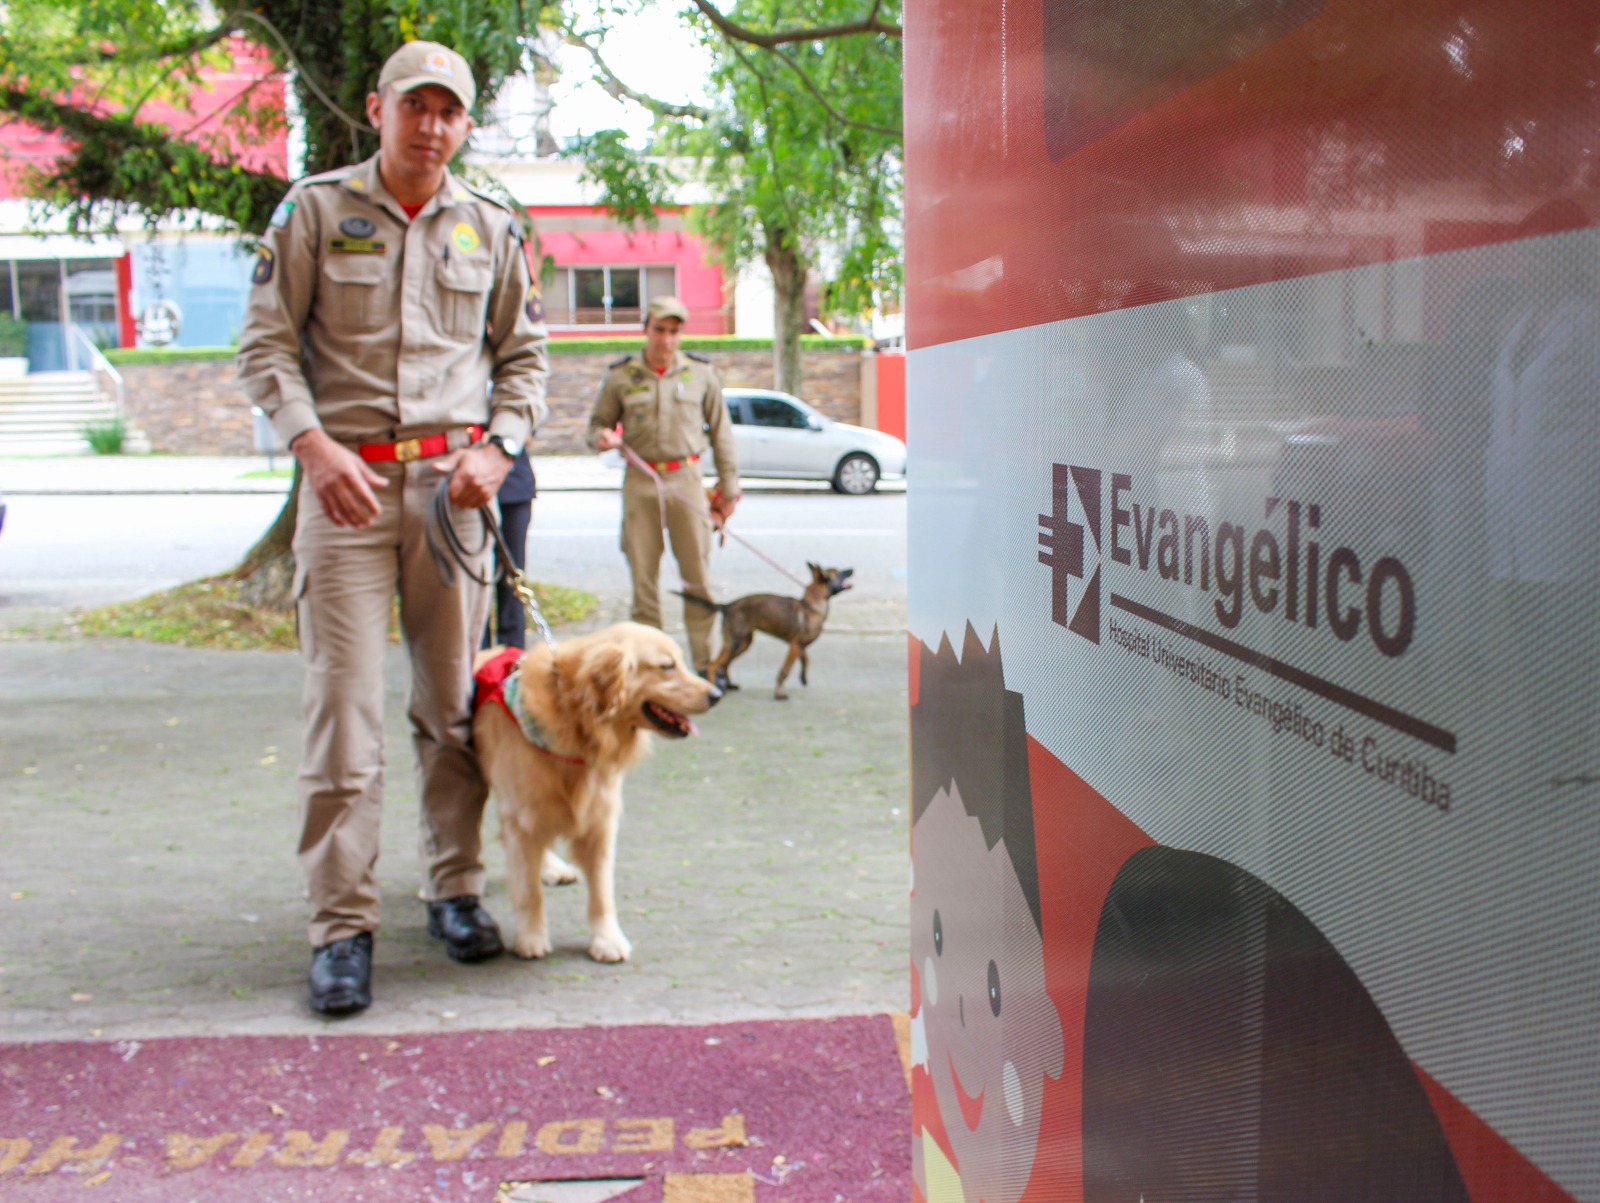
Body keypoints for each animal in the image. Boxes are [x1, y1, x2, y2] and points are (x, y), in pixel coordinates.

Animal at [473, 622, 721, 962]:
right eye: (667, 666)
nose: (717, 694)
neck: (578, 723)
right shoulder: (522, 816)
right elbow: (528, 891)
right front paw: (531, 937)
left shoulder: (599, 819)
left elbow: (602, 892)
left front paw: (607, 940)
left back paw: (552, 868)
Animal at [683, 563, 853, 700]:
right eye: (839, 572)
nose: (852, 569)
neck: (811, 605)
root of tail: (727, 605)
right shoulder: (795, 646)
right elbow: (785, 671)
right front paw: (779, 694)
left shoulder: (799, 646)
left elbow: (806, 659)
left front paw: (803, 678)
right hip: (734, 643)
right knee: (712, 665)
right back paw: (714, 689)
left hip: (743, 643)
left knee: (725, 665)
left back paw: (730, 685)